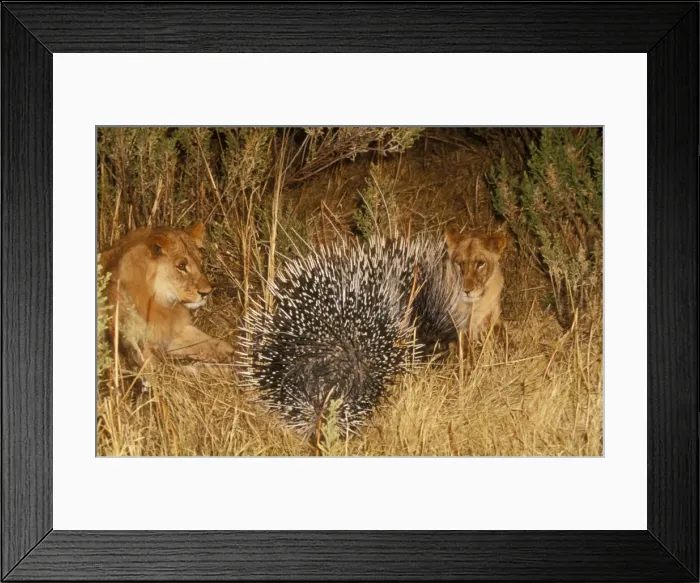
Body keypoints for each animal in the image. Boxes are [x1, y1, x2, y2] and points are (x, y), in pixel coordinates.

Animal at [100, 221, 234, 366]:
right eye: (181, 266)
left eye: (200, 262)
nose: (206, 292)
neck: (163, 304)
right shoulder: (137, 349)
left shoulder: (173, 330)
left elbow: (205, 340)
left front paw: (232, 352)